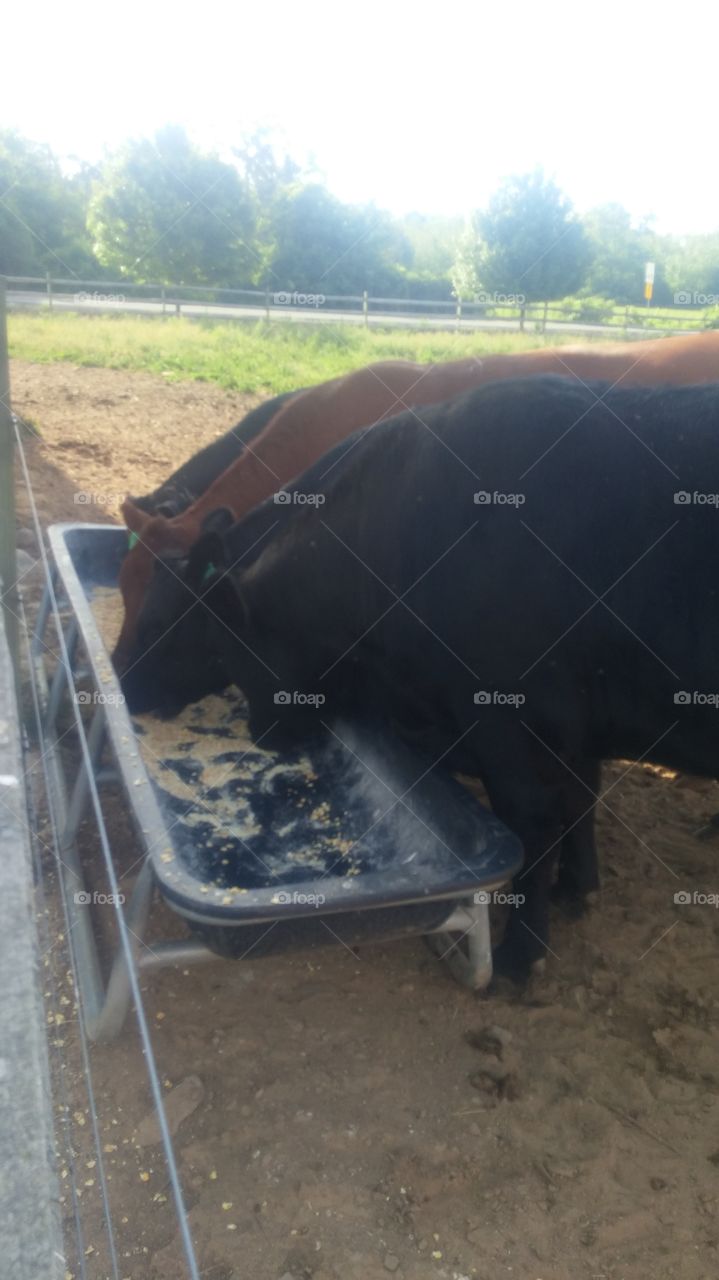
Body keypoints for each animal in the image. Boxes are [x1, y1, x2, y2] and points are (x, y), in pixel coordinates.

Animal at [121, 375, 719, 976]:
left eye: (170, 626)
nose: (126, 686)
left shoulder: (503, 719)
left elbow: (532, 818)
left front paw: (521, 955)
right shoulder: (572, 723)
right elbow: (581, 796)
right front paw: (579, 888)